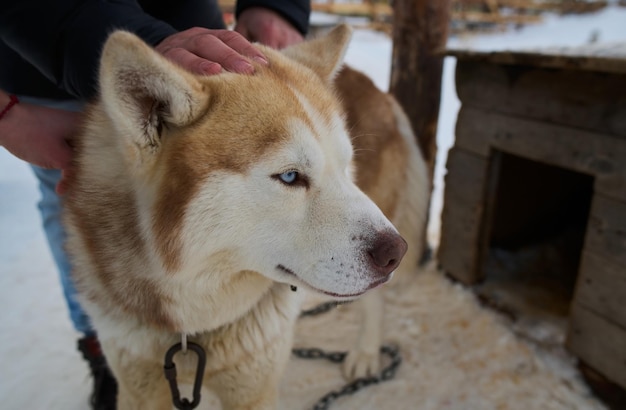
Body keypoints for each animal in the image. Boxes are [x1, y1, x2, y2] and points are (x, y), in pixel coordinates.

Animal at [61, 25, 408, 410]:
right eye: (290, 176)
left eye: (345, 166)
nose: (396, 252)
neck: (190, 326)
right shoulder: (138, 386)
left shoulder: (254, 387)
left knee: (374, 302)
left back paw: (365, 354)